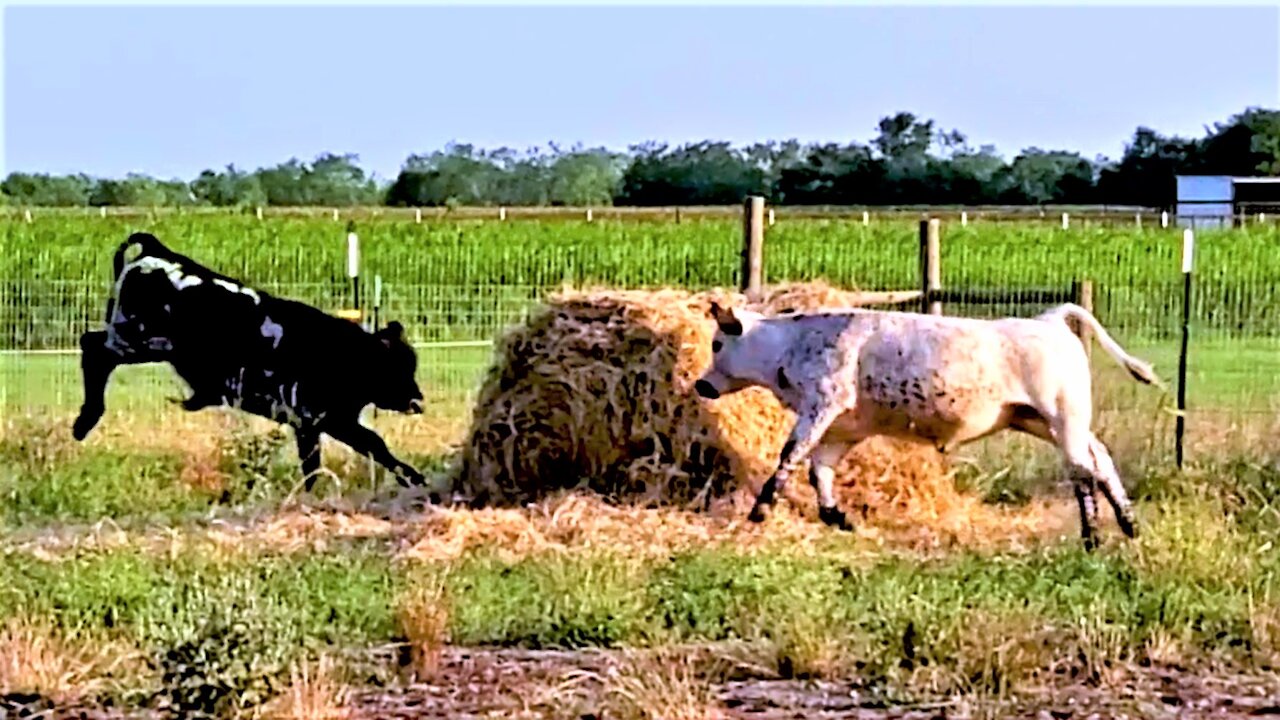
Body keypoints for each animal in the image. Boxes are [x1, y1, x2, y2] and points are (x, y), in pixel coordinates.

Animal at [72, 233, 427, 489]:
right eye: (396, 367)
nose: (418, 400)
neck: (340, 353)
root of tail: (159, 253)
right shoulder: (314, 419)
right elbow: (336, 457)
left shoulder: (329, 421)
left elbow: (368, 447)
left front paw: (413, 477)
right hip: (140, 341)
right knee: (94, 351)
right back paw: (85, 421)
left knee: (92, 345)